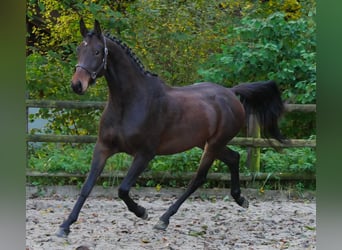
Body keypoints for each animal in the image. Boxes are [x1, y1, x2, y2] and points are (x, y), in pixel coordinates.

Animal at [56, 18, 284, 237]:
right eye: (79, 49)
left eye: (97, 51)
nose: (77, 85)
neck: (130, 102)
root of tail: (231, 93)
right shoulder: (103, 148)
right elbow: (86, 187)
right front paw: (65, 226)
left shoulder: (145, 154)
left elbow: (123, 189)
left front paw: (142, 212)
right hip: (206, 143)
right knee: (233, 158)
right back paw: (240, 199)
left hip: (213, 145)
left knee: (198, 178)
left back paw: (164, 219)